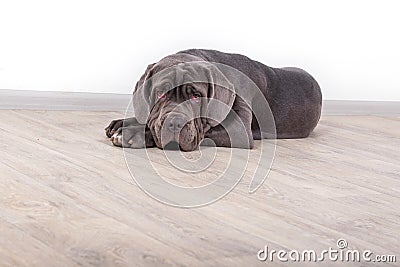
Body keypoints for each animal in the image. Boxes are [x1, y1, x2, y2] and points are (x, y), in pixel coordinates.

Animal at [104, 49, 322, 152]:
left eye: (196, 96)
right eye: (160, 94)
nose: (174, 123)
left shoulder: (239, 129)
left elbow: (206, 131)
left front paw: (133, 133)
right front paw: (121, 124)